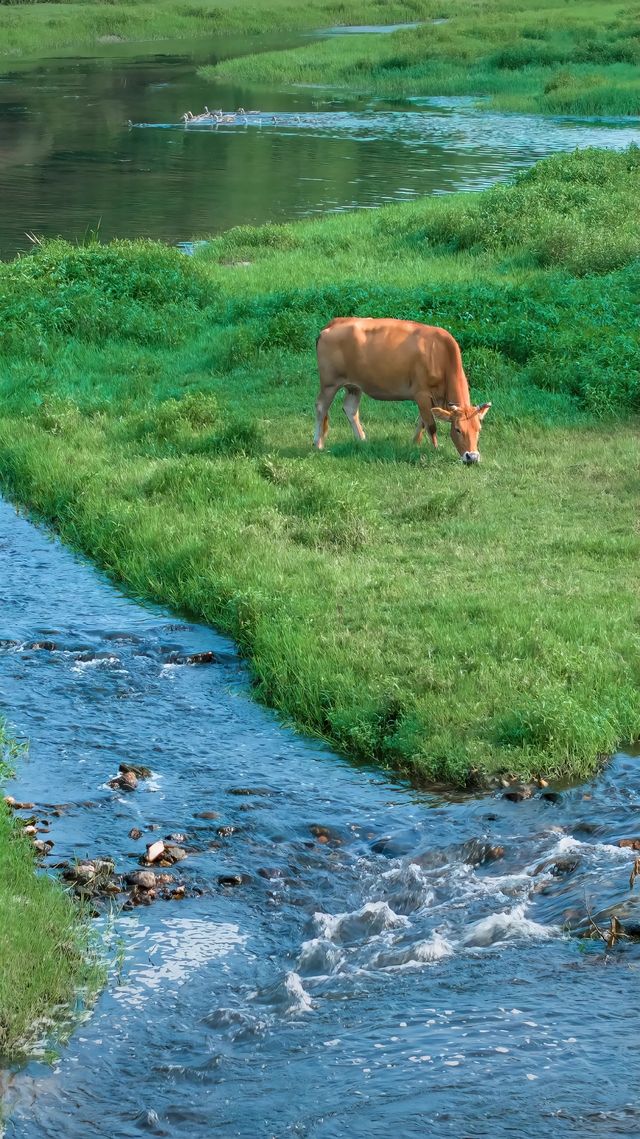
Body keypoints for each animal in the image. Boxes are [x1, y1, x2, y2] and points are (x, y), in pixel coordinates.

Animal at [314, 316, 487, 462]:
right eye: (457, 429)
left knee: (350, 409)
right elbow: (431, 425)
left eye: (479, 429)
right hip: (329, 383)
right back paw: (318, 444)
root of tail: (335, 322)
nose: (472, 457)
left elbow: (422, 422)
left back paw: (362, 441)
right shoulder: (421, 394)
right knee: (321, 407)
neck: (441, 354)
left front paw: (414, 444)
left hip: (354, 385)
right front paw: (435, 449)